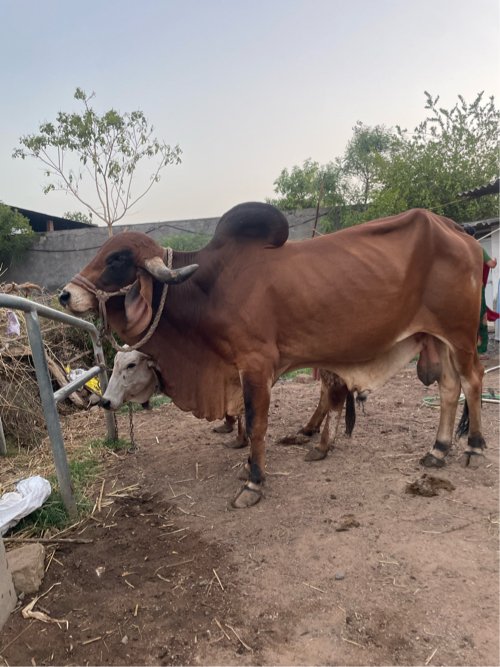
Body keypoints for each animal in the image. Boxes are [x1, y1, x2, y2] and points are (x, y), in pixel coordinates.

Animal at [59, 203, 486, 509]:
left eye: (117, 259)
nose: (65, 294)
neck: (209, 285)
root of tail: (459, 231)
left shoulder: (256, 364)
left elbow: (256, 422)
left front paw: (253, 481)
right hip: (437, 337)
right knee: (449, 388)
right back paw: (438, 449)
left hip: (461, 334)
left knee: (473, 381)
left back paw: (474, 447)